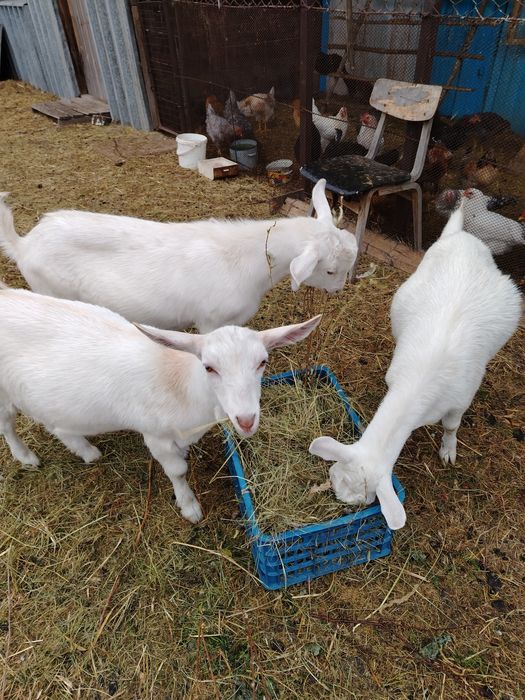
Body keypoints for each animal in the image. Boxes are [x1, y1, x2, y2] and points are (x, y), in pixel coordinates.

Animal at [0, 180, 356, 333]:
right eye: (329, 271)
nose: (339, 291)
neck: (246, 257)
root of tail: (25, 244)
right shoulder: (211, 322)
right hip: (52, 290)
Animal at [0, 284, 321, 522]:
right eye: (209, 367)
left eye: (263, 362)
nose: (246, 420)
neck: (181, 384)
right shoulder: (154, 434)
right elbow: (177, 470)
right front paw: (189, 507)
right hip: (3, 395)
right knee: (7, 426)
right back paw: (26, 457)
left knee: (57, 424)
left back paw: (87, 451)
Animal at [309, 204, 521, 529]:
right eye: (334, 477)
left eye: (363, 500)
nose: (337, 502)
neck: (420, 382)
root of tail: (460, 235)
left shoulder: (460, 399)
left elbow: (451, 425)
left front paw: (448, 450)